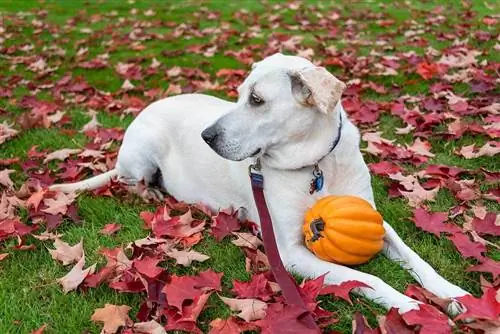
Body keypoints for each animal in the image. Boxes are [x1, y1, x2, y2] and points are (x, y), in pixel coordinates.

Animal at [51, 53, 468, 314]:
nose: (206, 137)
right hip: (142, 150)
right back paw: (151, 189)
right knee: (127, 179)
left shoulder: (374, 222)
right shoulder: (290, 253)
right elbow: (365, 278)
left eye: (255, 99)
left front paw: (452, 294)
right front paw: (408, 304)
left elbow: (417, 259)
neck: (316, 164)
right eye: (238, 96)